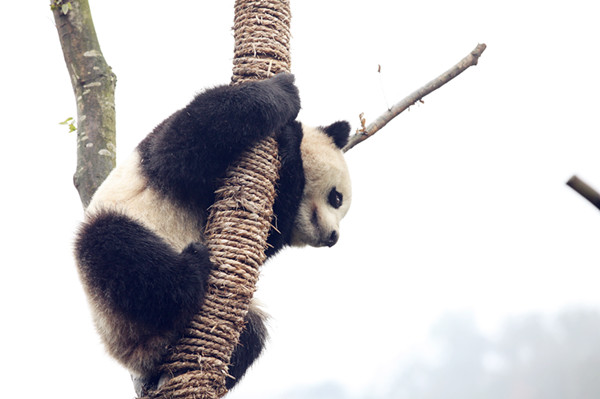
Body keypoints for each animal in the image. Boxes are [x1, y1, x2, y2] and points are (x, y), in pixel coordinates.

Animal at [74, 73, 352, 396]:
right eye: (336, 197)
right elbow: (182, 149)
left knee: (252, 334)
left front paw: (290, 149)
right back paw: (191, 269)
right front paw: (284, 98)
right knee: (121, 254)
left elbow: (272, 227)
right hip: (113, 279)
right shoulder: (166, 156)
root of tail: (139, 356)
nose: (333, 237)